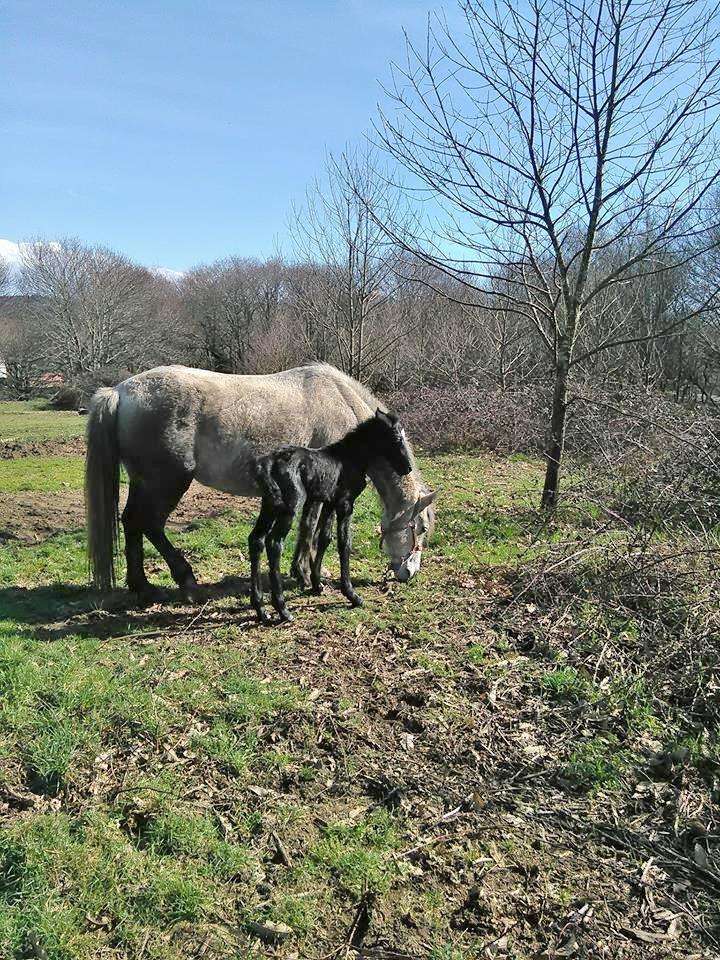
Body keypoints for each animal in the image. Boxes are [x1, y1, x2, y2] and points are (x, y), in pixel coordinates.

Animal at [84, 363, 436, 600]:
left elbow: (306, 528)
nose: (409, 574)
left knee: (132, 522)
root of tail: (119, 391)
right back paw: (185, 580)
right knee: (150, 524)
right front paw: (306, 575)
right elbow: (310, 529)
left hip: (143, 483)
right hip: (167, 483)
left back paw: (141, 587)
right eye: (420, 528)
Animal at [250, 408, 418, 624]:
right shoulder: (345, 505)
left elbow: (323, 539)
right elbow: (344, 544)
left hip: (270, 505)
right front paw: (351, 595)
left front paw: (316, 585)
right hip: (290, 506)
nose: (407, 468)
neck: (349, 458)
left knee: (257, 540)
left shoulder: (329, 502)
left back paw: (261, 609)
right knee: (274, 543)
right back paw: (283, 609)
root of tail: (268, 464)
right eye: (396, 439)